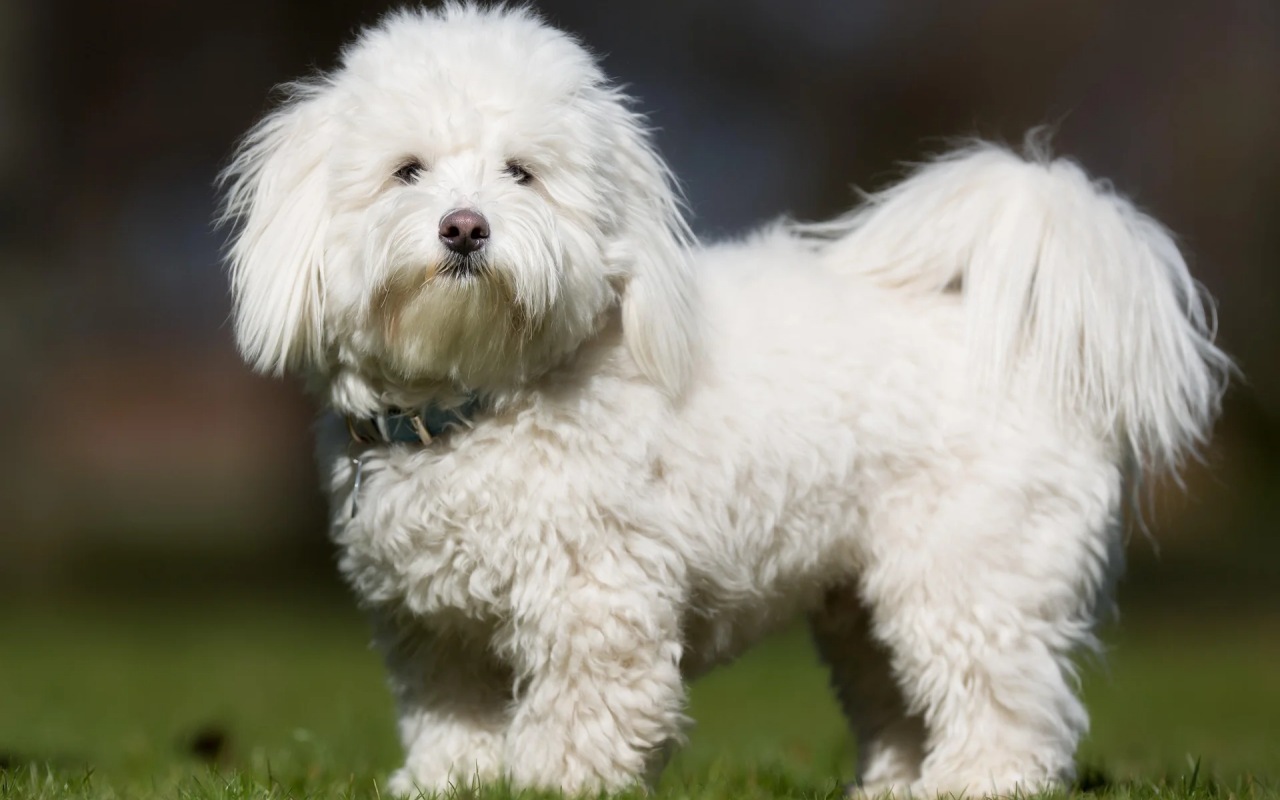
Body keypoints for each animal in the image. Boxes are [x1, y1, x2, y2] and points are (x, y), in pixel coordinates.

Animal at [220, 3, 1228, 793]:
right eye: (407, 170)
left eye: (521, 172)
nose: (464, 229)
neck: (483, 399)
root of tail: (1023, 339)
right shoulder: (436, 629)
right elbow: (451, 721)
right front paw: (449, 783)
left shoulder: (596, 601)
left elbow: (583, 714)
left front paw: (549, 782)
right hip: (862, 603)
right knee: (900, 699)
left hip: (969, 571)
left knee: (1006, 703)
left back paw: (977, 783)